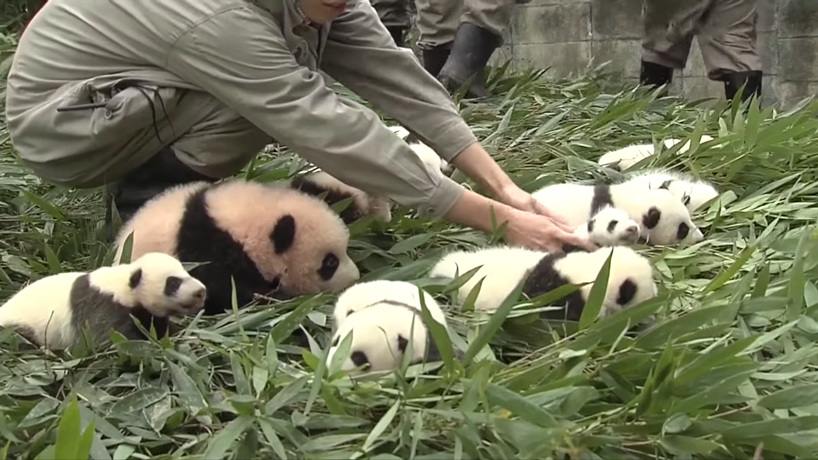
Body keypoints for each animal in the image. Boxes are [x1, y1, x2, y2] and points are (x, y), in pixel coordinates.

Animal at [0, 252, 206, 351]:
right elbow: (107, 339)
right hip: (17, 326)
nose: (200, 292)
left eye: (187, 271)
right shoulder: (102, 306)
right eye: (173, 282)